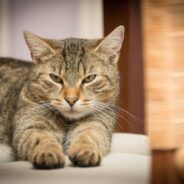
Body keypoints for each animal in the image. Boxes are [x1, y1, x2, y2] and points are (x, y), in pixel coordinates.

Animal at [0, 25, 125, 168]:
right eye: (55, 78)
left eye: (89, 78)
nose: (71, 99)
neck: (67, 122)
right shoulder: (29, 125)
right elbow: (40, 137)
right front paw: (48, 152)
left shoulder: (98, 123)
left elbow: (89, 135)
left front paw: (85, 149)